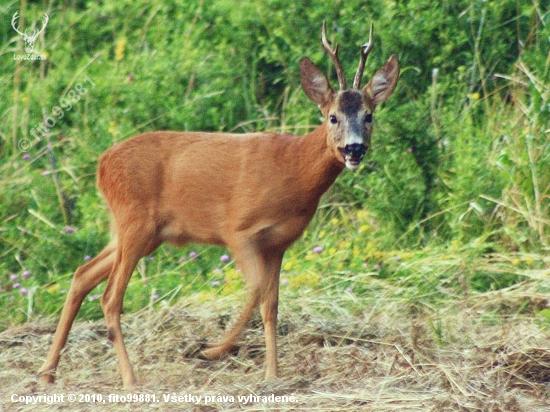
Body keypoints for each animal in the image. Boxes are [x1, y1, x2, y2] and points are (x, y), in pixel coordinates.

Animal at [40, 20, 402, 388]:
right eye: (332, 117)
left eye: (369, 116)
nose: (354, 149)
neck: (293, 169)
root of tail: (101, 165)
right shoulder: (237, 230)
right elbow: (255, 290)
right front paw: (211, 351)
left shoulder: (278, 243)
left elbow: (271, 305)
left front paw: (272, 374)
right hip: (135, 223)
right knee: (110, 297)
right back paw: (129, 379)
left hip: (139, 232)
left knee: (82, 274)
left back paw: (47, 372)